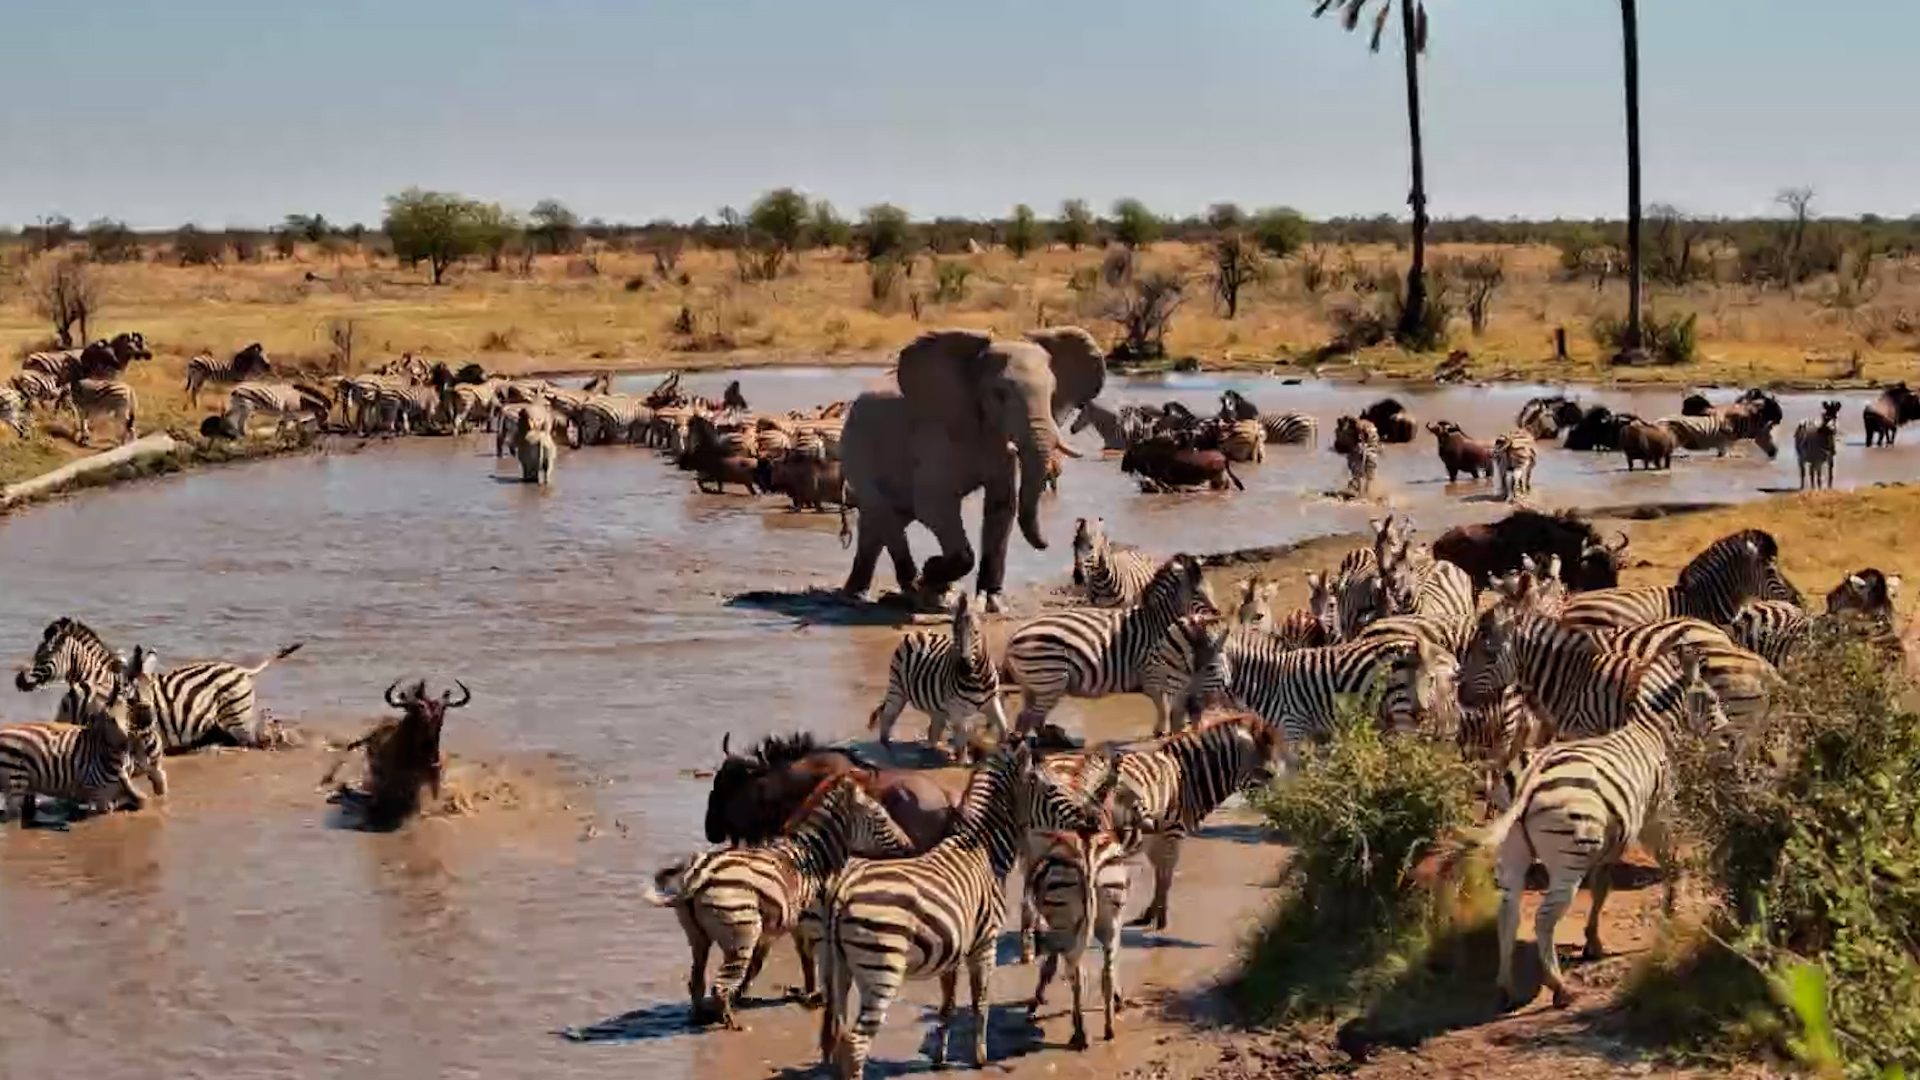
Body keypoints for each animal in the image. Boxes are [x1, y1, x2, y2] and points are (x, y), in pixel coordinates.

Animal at [838, 327, 1106, 612]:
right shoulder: (935, 432)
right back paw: (912, 593)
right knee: (885, 515)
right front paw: (932, 570)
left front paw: (992, 603)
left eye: (1053, 392)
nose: (1048, 543)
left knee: (879, 524)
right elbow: (933, 505)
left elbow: (1001, 506)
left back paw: (860, 594)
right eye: (999, 394)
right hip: (857, 453)